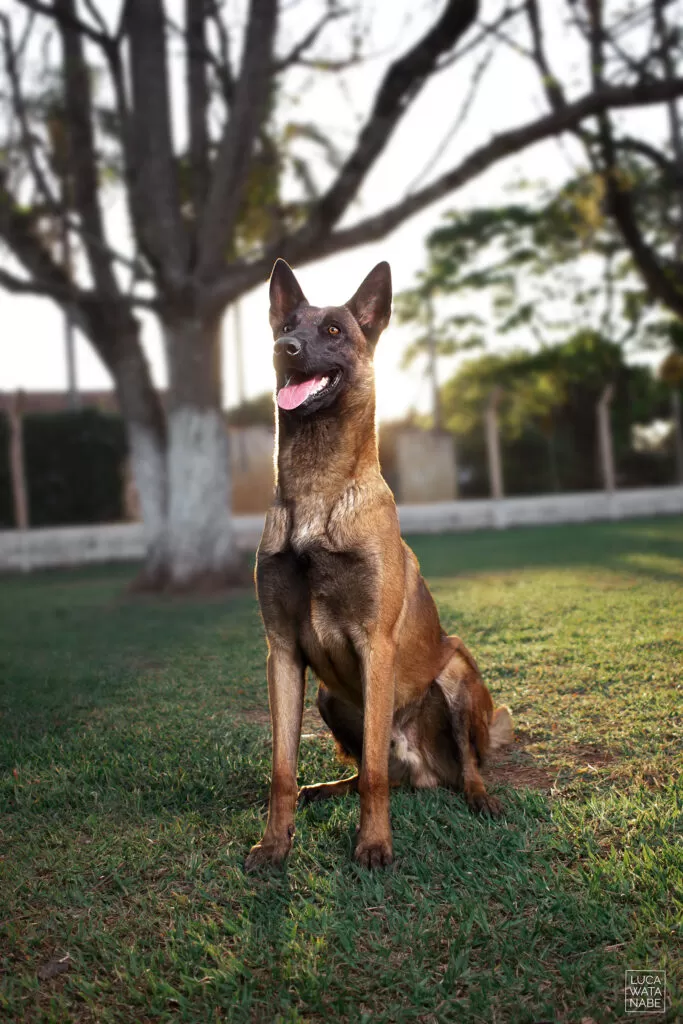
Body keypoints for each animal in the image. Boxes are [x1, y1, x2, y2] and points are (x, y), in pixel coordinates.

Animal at [245, 258, 511, 872]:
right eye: (286, 325)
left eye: (334, 331)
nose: (284, 348)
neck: (317, 491)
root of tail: (421, 767)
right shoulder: (282, 653)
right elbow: (282, 769)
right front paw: (276, 843)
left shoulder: (376, 647)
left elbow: (372, 776)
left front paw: (373, 845)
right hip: (328, 697)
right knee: (369, 768)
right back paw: (322, 792)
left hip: (457, 669)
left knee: (460, 766)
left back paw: (480, 798)